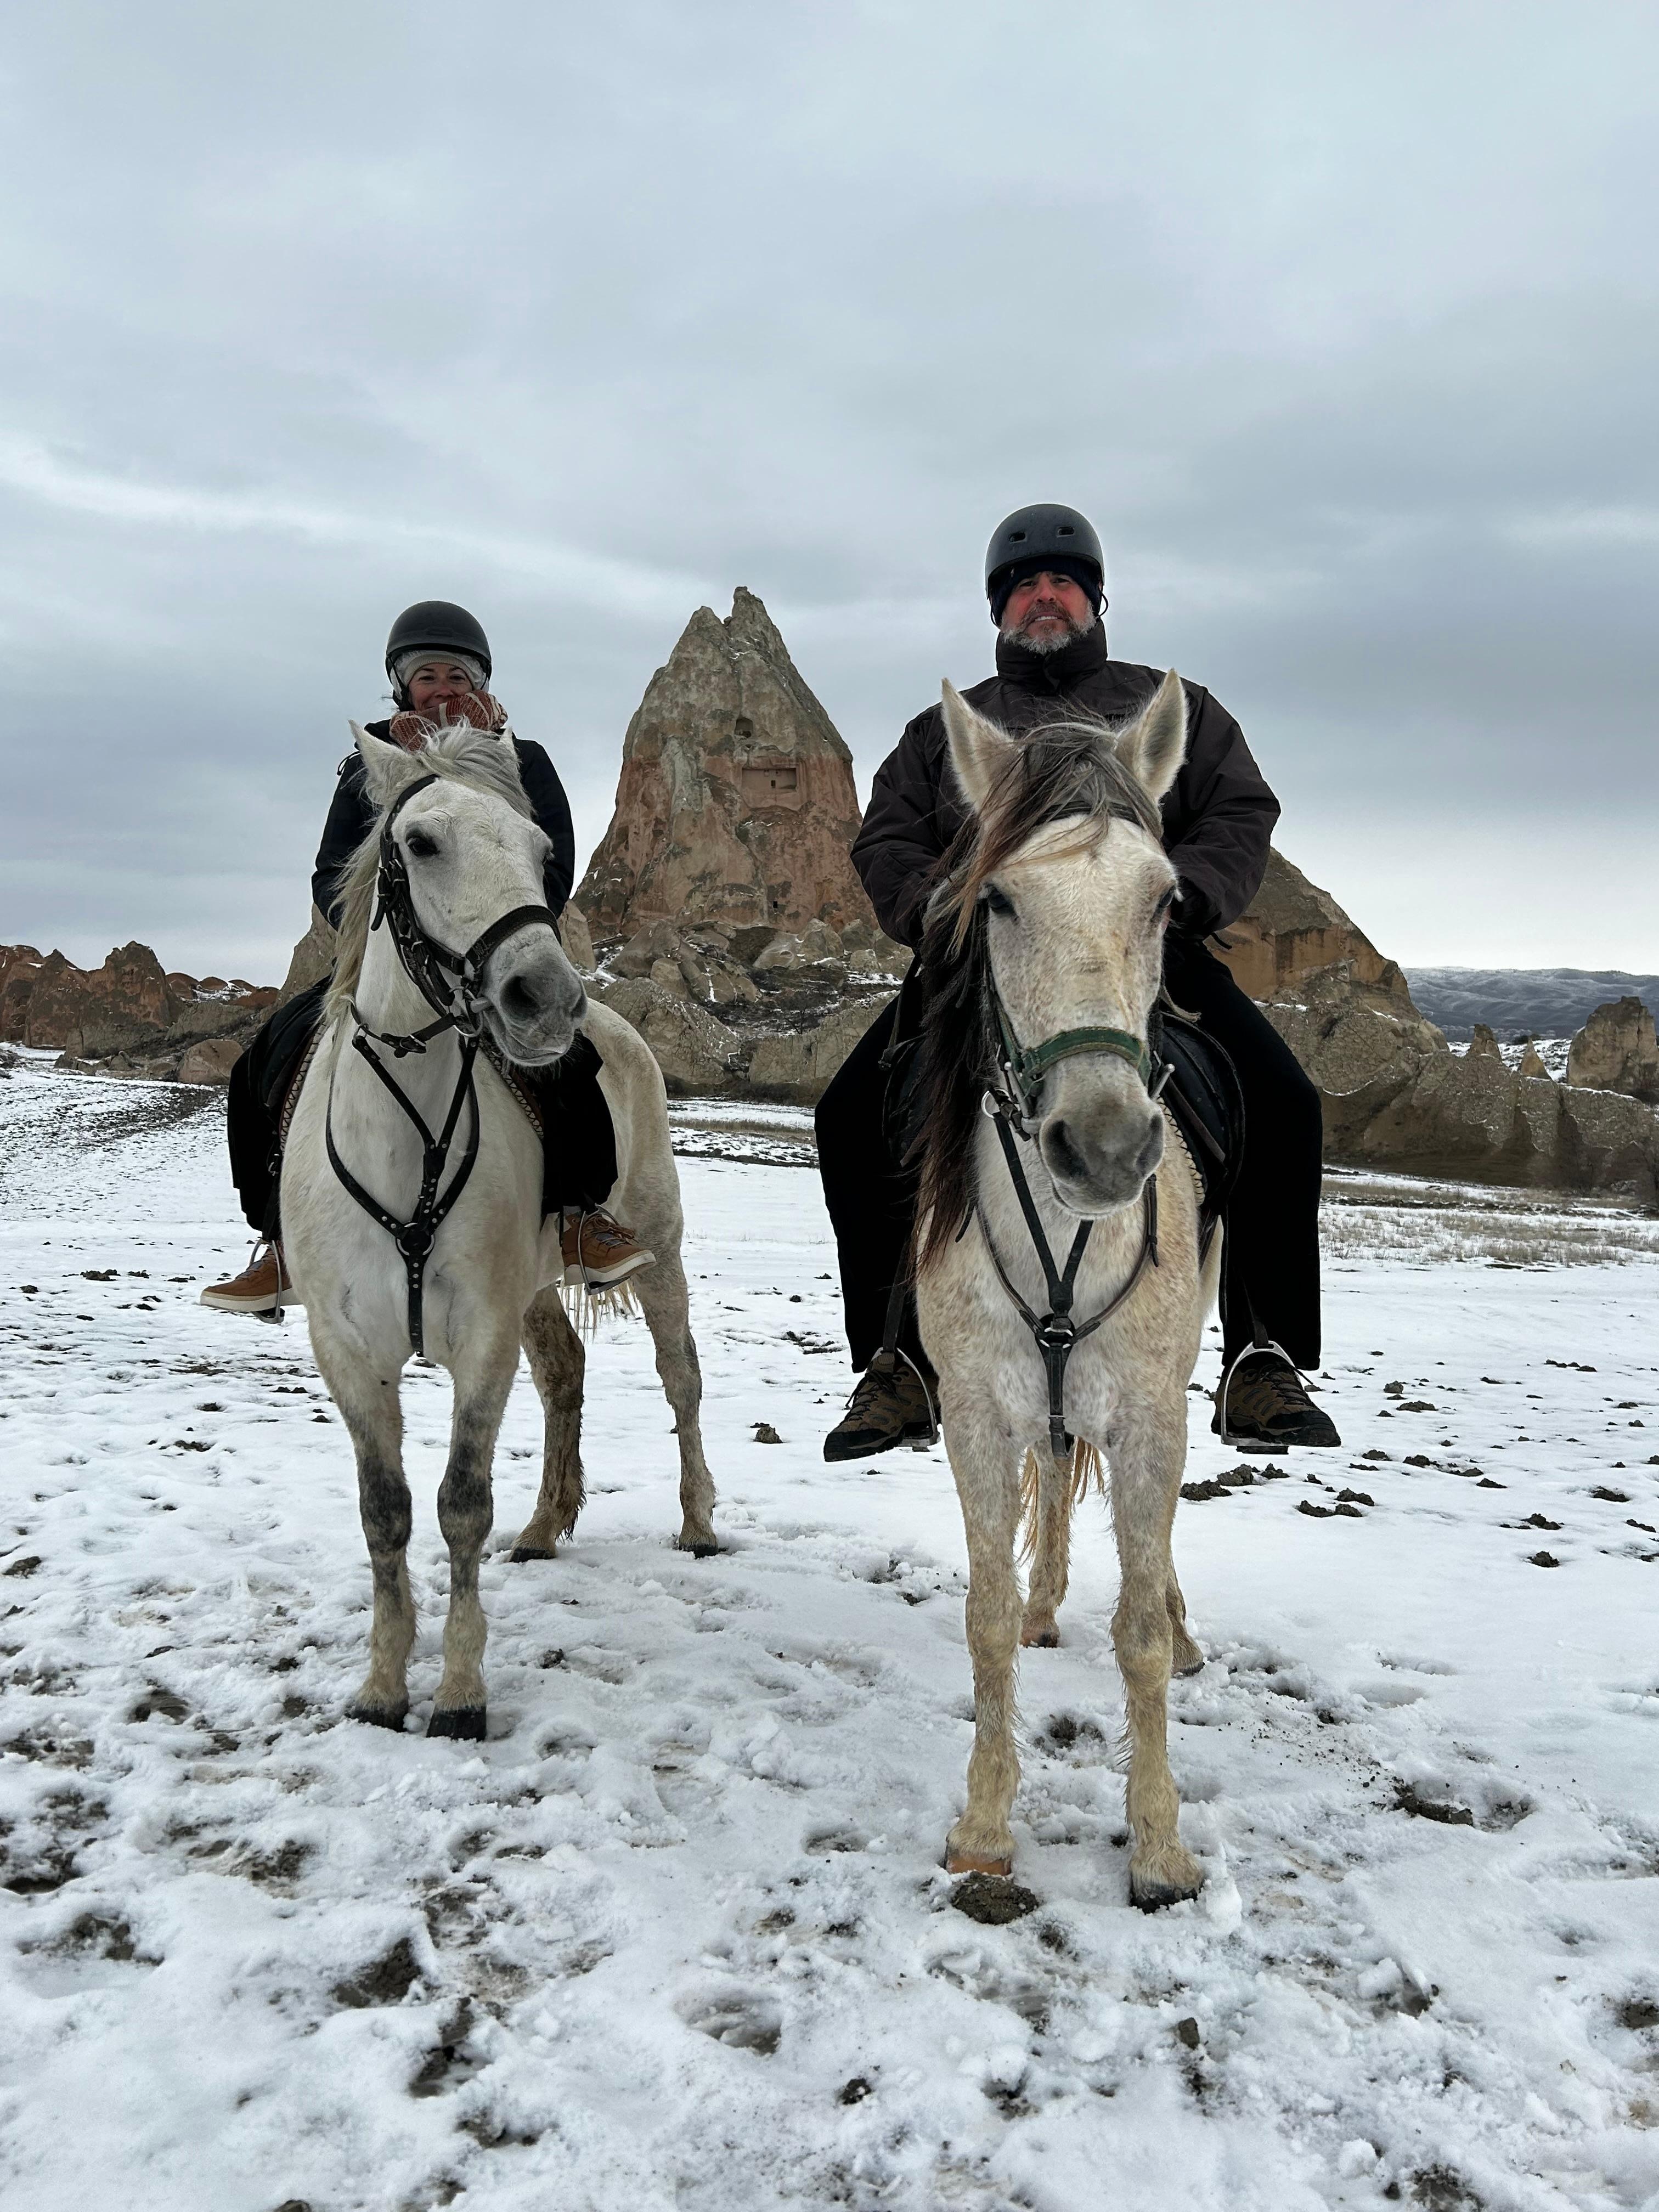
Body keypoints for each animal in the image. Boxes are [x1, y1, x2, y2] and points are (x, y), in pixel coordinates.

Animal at [280, 722, 717, 1740]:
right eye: (421, 842)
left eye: (542, 850)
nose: (545, 998)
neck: (408, 1142)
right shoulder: (347, 1348)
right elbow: (386, 1511)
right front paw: (381, 1685)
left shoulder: (481, 1341)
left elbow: (460, 1505)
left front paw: (459, 1695)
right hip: (537, 1290)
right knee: (567, 1376)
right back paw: (548, 1525)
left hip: (660, 1257)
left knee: (681, 1380)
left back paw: (698, 1522)